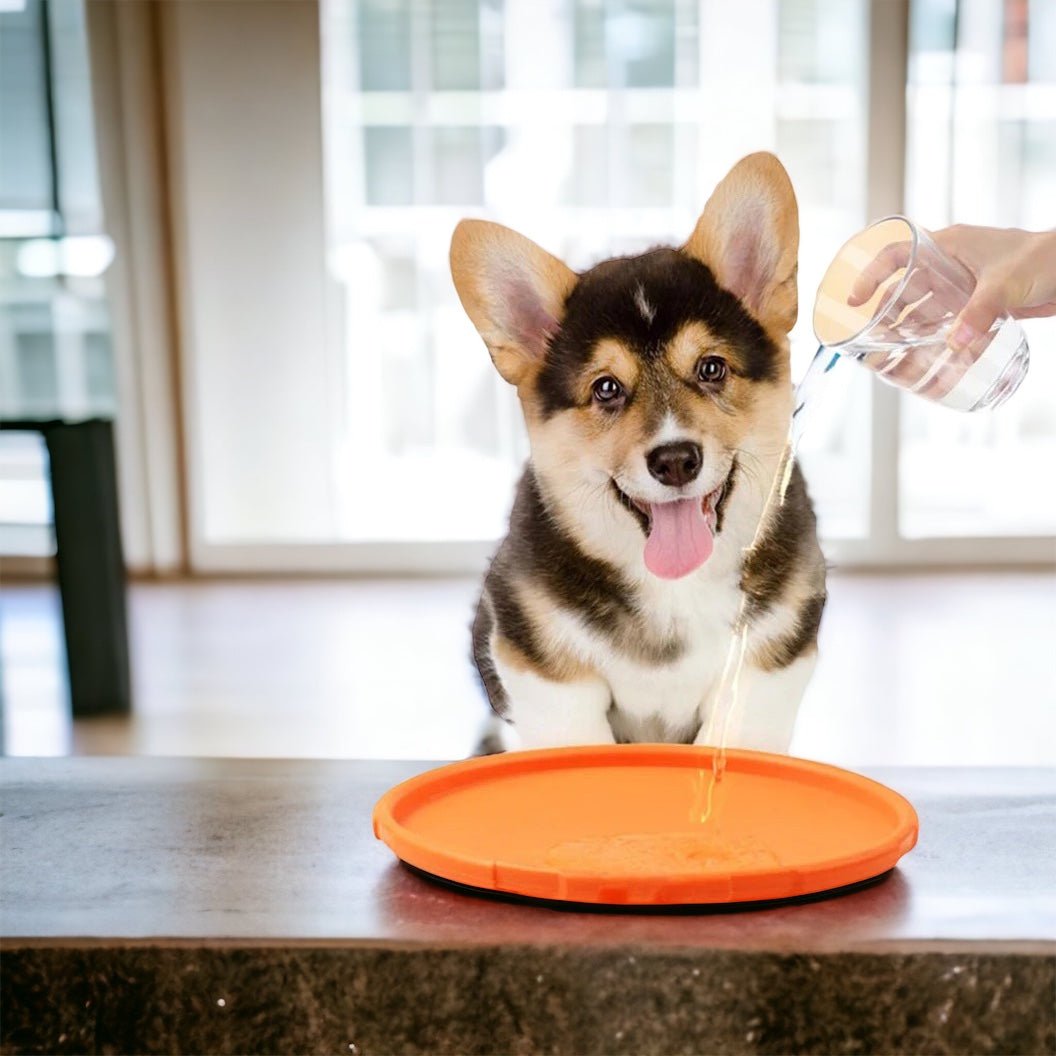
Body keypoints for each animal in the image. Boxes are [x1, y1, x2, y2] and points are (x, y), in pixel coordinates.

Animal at [451, 153, 823, 756]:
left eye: (712, 367)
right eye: (606, 388)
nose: (675, 460)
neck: (674, 590)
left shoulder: (764, 667)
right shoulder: (547, 674)